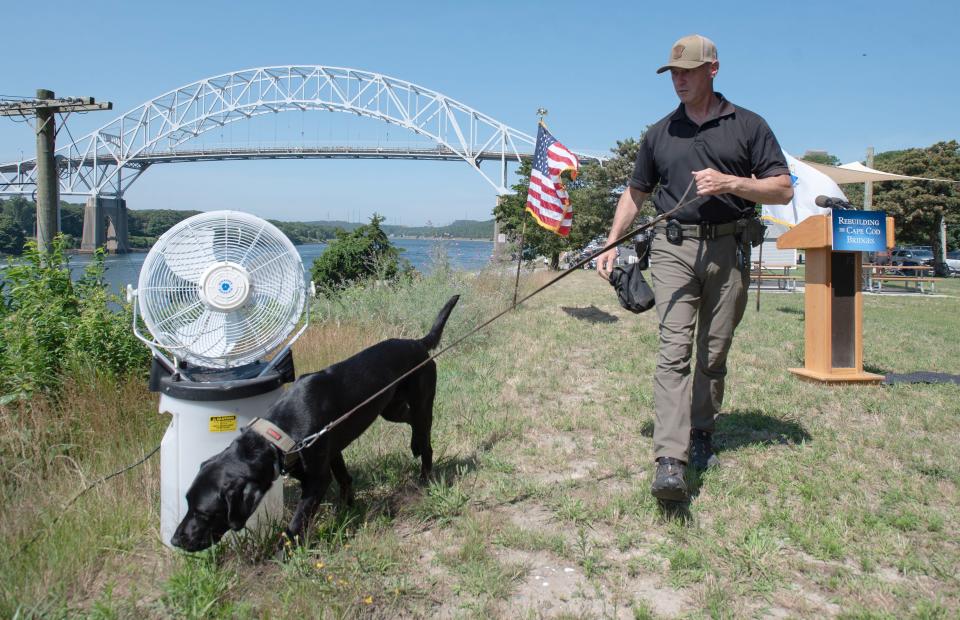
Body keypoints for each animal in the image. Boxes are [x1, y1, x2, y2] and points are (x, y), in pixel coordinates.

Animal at [171, 296, 460, 552]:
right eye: (187, 503)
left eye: (205, 513)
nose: (176, 540)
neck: (280, 435)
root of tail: (417, 344)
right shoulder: (332, 452)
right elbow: (344, 479)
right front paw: (347, 510)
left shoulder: (317, 480)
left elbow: (297, 522)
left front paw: (284, 553)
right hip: (390, 408)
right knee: (412, 425)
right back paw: (414, 446)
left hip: (422, 402)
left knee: (426, 437)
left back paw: (424, 476)